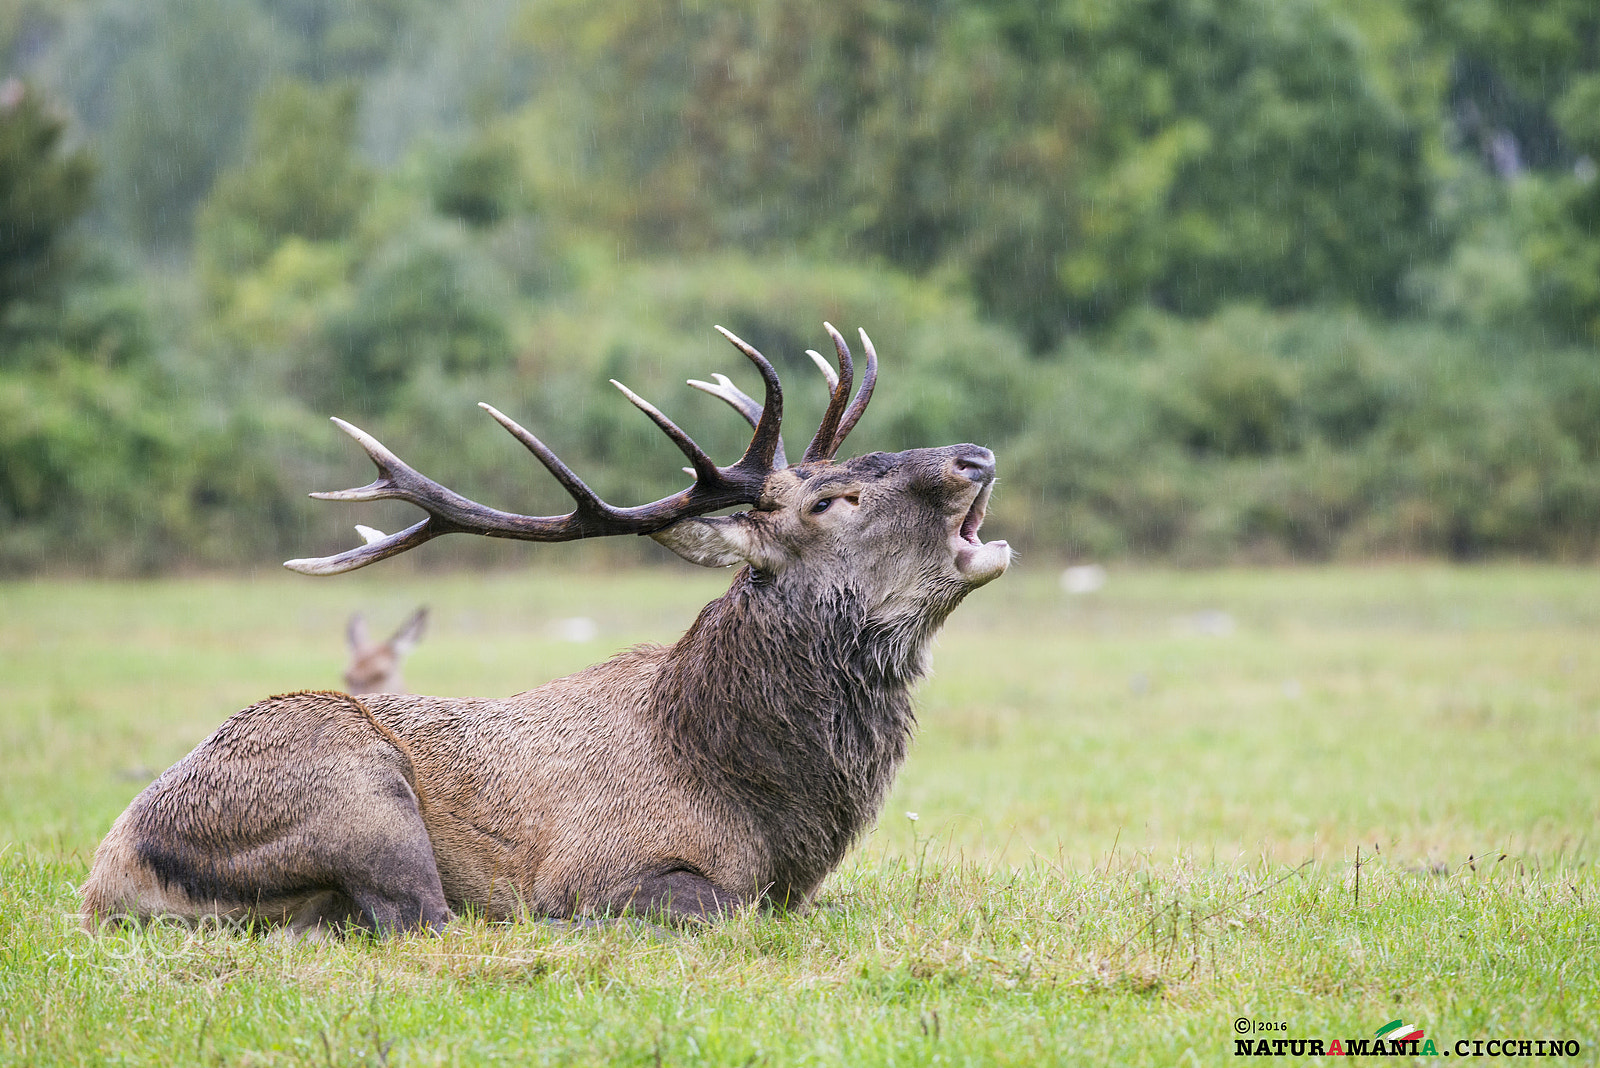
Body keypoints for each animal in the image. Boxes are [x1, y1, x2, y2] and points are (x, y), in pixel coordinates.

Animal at [78, 327, 1011, 933]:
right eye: (830, 500)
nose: (975, 456)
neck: (760, 799)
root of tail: (102, 884)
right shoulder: (599, 865)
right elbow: (720, 910)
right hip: (353, 786)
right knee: (423, 917)